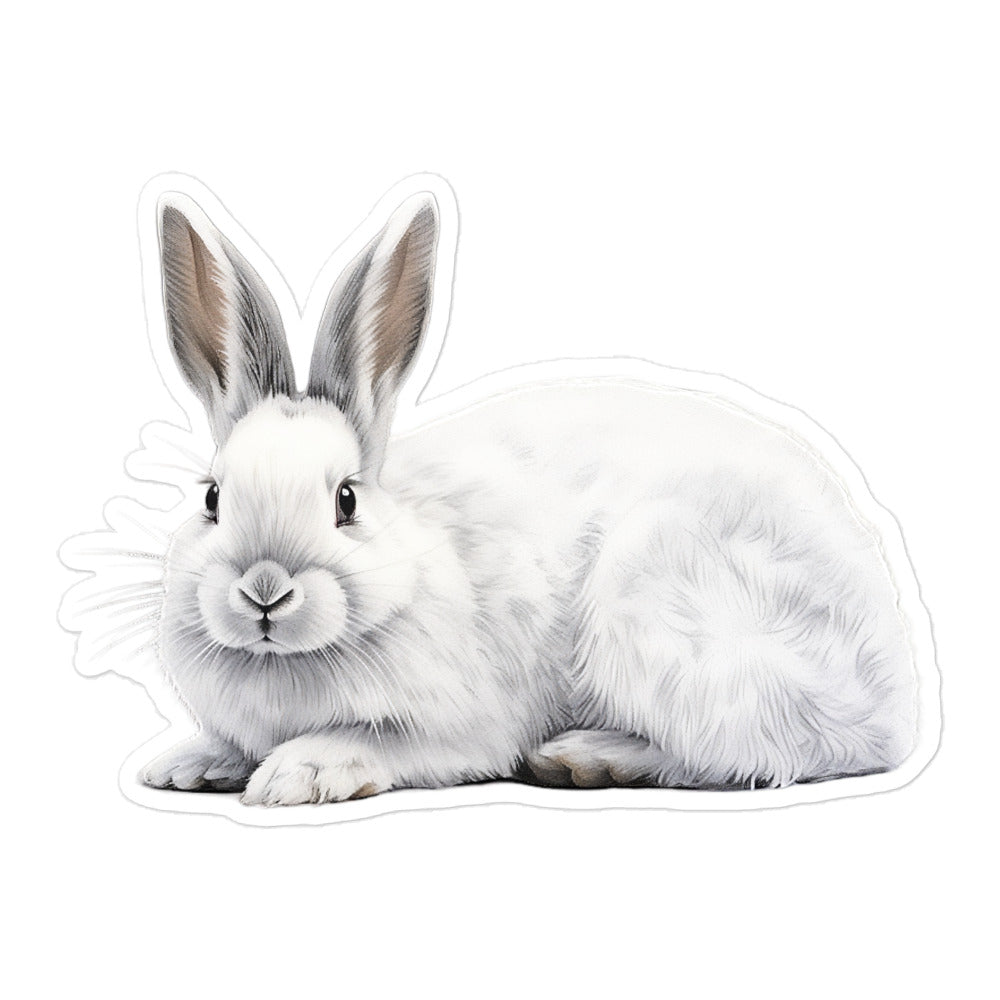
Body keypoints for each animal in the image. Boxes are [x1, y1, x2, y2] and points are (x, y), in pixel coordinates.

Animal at [140, 188, 918, 806]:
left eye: (347, 501)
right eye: (213, 498)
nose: (265, 588)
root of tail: (893, 700)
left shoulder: (465, 728)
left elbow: (387, 745)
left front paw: (298, 772)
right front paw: (189, 765)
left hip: (666, 621)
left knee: (755, 752)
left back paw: (590, 757)